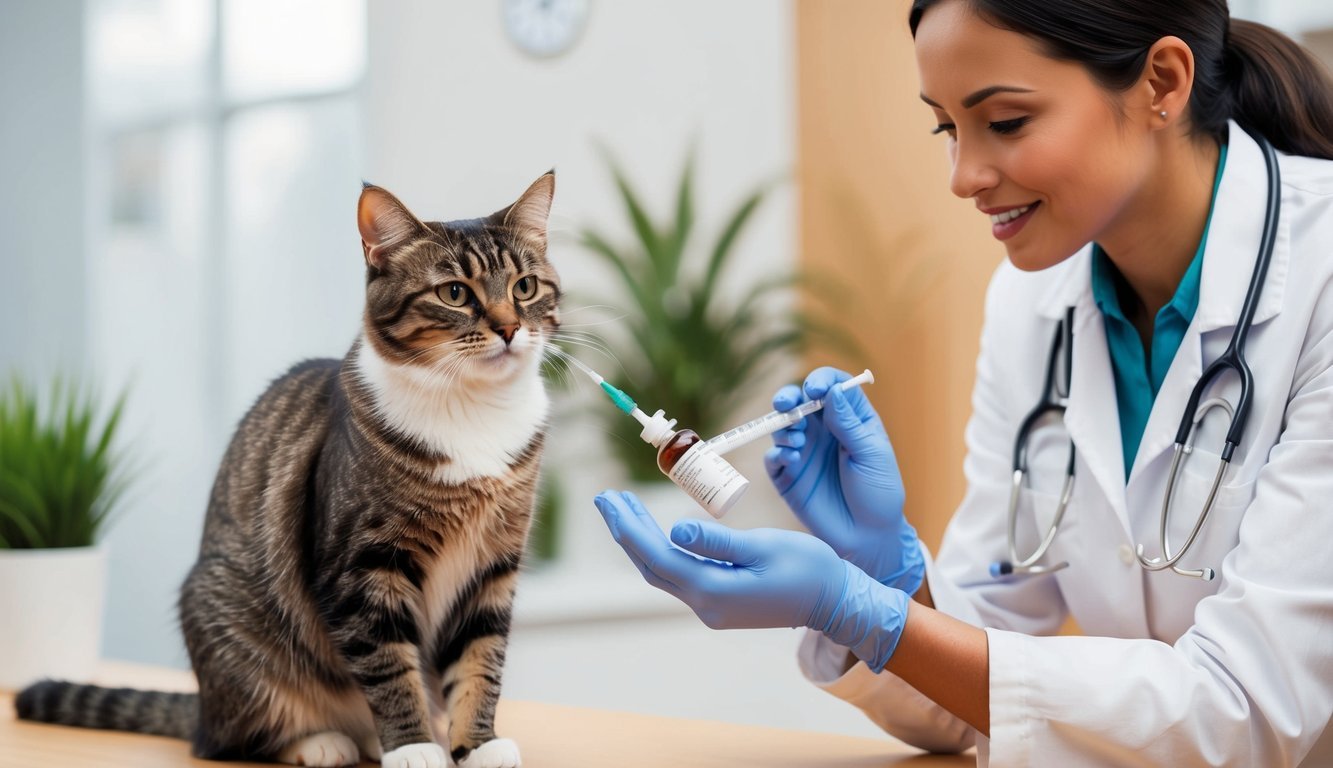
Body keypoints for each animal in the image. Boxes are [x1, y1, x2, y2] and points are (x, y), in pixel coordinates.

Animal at [18, 173, 565, 768]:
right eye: (455, 294)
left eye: (526, 287)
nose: (509, 328)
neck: (474, 412)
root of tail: (203, 705)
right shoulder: (362, 568)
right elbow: (389, 668)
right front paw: (415, 746)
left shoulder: (492, 566)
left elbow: (480, 660)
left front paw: (478, 745)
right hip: (233, 633)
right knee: (234, 737)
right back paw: (325, 741)